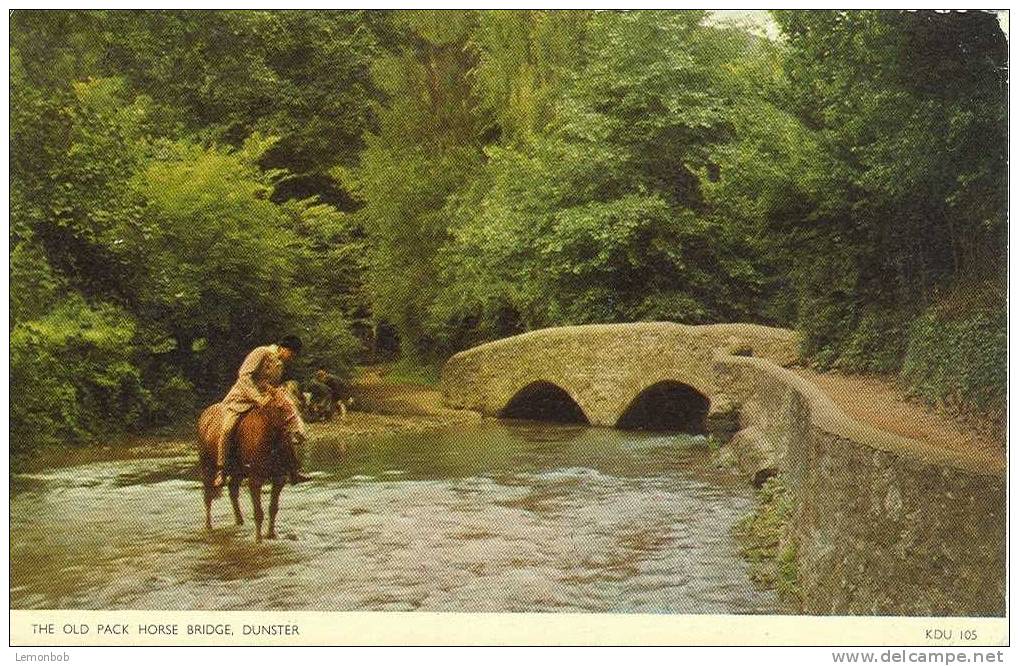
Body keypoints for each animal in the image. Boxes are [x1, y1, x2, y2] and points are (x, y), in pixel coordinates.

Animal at [194, 391, 297, 541]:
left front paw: (271, 535)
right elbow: (258, 512)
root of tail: (205, 415)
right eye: (280, 407)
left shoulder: (279, 479)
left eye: (294, 403)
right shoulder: (255, 479)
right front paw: (258, 539)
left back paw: (239, 522)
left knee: (232, 490)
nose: (297, 432)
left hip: (237, 472)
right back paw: (208, 527)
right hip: (207, 468)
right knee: (208, 496)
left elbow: (273, 508)